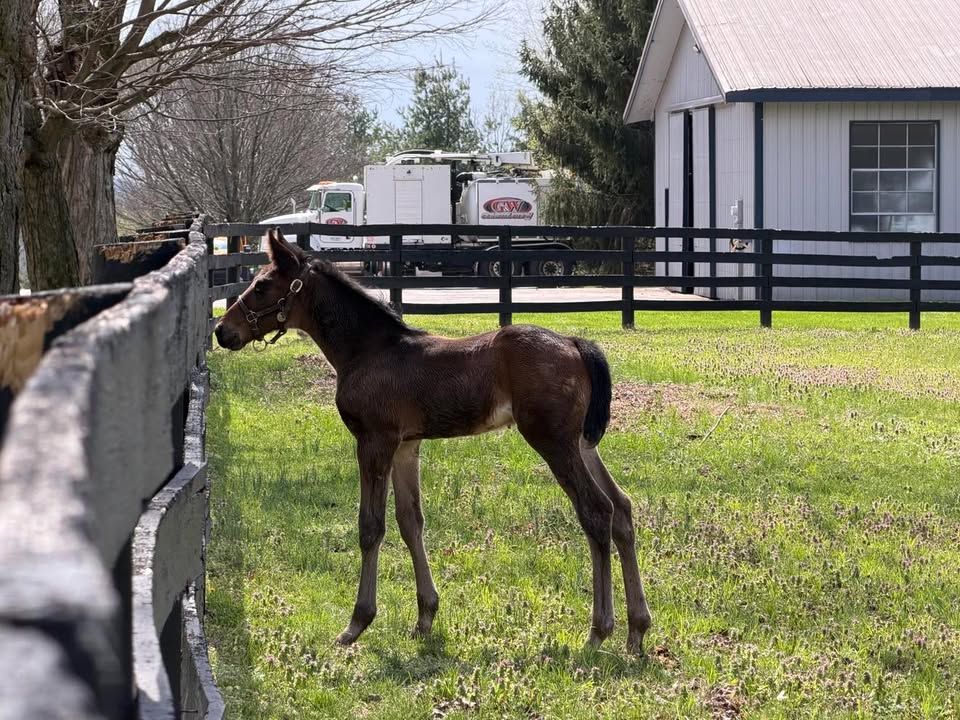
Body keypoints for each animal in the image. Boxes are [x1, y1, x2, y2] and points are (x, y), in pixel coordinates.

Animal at [214, 229, 652, 653]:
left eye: (262, 285)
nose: (222, 331)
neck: (369, 351)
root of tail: (576, 344)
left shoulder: (374, 441)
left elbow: (371, 526)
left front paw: (357, 623)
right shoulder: (406, 446)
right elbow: (411, 522)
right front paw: (425, 617)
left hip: (553, 441)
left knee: (596, 511)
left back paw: (599, 631)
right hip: (582, 443)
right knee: (622, 507)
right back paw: (637, 630)